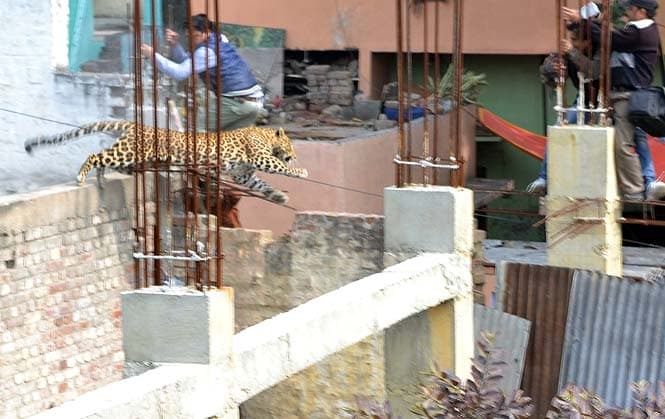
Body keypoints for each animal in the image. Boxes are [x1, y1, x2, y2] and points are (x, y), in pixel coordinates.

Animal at [24, 121, 308, 204]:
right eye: (292, 146)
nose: (295, 154)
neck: (265, 135)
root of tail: (135, 124)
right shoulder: (261, 157)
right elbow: (281, 168)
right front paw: (301, 170)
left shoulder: (243, 174)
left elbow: (261, 184)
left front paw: (278, 196)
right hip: (130, 152)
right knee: (96, 155)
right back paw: (82, 176)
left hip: (128, 156)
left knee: (105, 157)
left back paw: (102, 180)